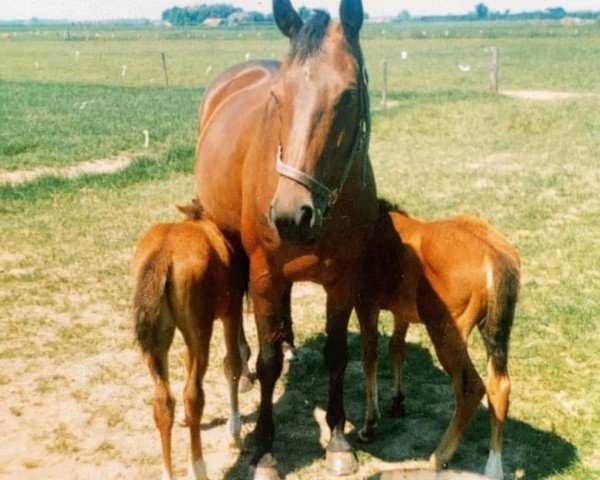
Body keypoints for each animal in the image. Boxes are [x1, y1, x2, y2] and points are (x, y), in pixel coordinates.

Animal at [132, 201, 247, 480]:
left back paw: (167, 472)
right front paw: (235, 433)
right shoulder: (231, 312)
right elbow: (232, 364)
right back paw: (198, 468)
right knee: (193, 395)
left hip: (158, 341)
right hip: (200, 332)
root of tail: (164, 252)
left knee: (163, 401)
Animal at [356, 201, 520, 478]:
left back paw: (438, 457)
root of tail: (494, 255)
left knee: (470, 388)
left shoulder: (365, 302)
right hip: (493, 331)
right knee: (499, 386)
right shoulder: (401, 311)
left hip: (447, 333)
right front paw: (398, 401)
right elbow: (397, 348)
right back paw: (493, 468)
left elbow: (370, 357)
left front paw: (369, 425)